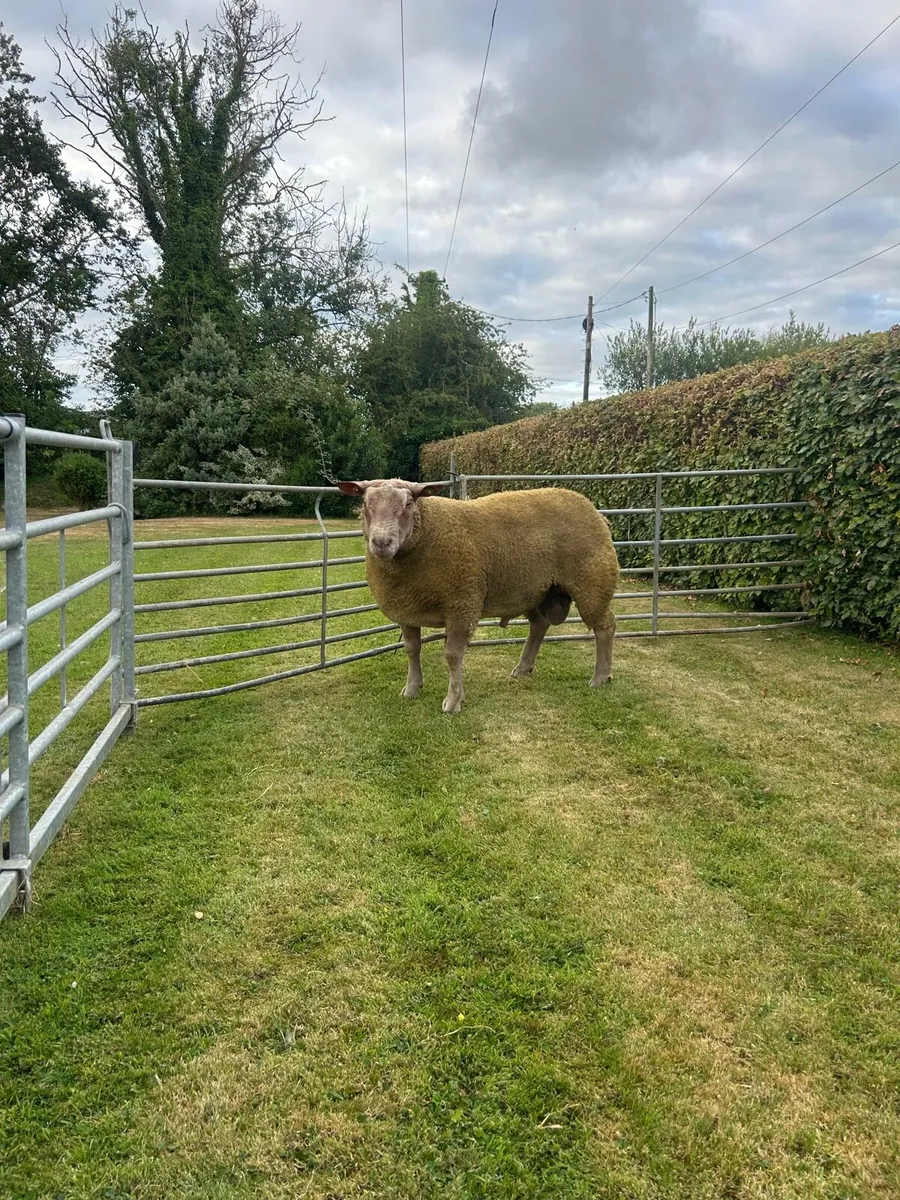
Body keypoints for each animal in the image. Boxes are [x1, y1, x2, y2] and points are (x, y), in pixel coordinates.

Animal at [337, 479, 620, 714]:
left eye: (408, 503)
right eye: (365, 503)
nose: (381, 543)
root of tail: (594, 511)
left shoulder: (463, 602)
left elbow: (452, 655)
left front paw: (453, 701)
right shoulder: (407, 608)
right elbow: (411, 649)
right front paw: (412, 688)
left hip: (592, 583)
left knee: (605, 627)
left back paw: (600, 677)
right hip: (536, 590)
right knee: (539, 626)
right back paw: (523, 668)